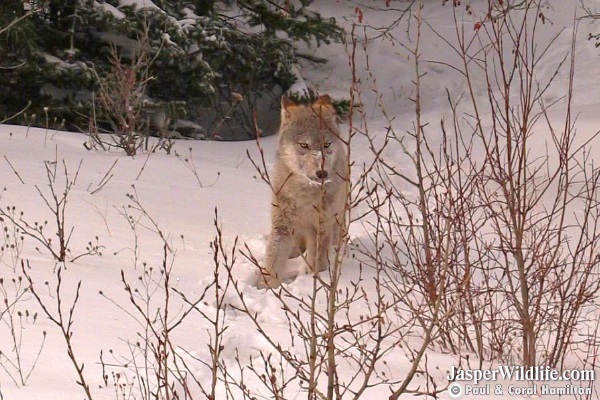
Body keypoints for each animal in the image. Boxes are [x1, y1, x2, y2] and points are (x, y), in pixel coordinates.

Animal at [258, 94, 352, 288]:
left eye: (326, 144)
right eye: (304, 145)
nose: (322, 173)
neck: (305, 196)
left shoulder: (321, 228)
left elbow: (318, 261)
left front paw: (313, 278)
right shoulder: (282, 226)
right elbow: (273, 261)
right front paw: (266, 287)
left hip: (336, 221)